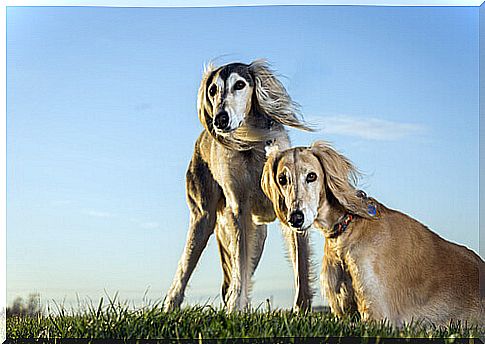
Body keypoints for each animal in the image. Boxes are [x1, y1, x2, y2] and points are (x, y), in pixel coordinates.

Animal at [164, 60, 312, 314]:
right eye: (212, 90)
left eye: (240, 85)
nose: (220, 119)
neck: (252, 144)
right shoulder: (239, 211)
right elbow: (239, 268)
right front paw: (235, 308)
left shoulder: (292, 210)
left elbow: (300, 266)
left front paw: (301, 310)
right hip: (203, 218)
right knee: (187, 266)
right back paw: (171, 304)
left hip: (258, 235)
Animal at [260, 141, 484, 326]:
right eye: (282, 179)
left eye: (311, 176)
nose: (296, 218)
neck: (345, 231)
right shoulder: (343, 314)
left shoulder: (379, 318)